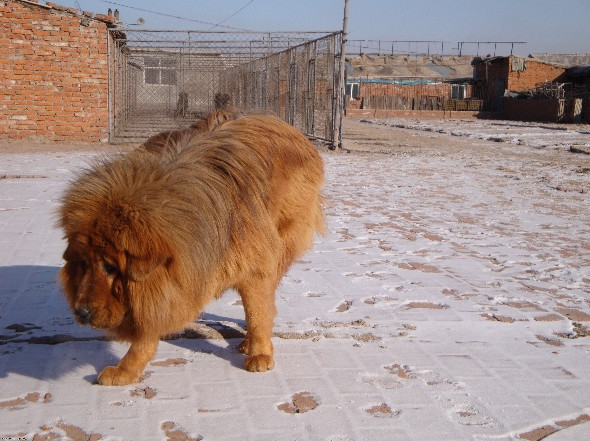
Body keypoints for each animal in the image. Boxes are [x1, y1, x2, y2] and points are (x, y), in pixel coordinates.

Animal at [59, 114, 326, 384]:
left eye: (110, 267)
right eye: (84, 264)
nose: (81, 313)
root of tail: (288, 128)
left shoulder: (254, 267)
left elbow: (257, 313)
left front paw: (260, 353)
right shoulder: (168, 287)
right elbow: (147, 331)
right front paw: (127, 369)